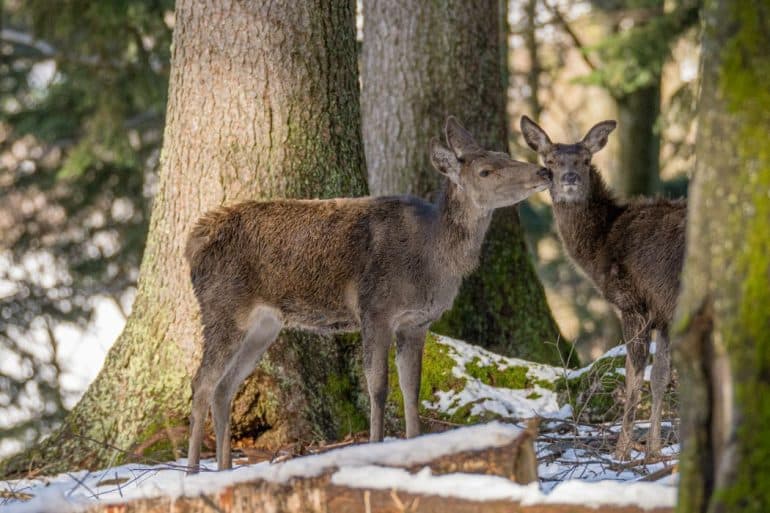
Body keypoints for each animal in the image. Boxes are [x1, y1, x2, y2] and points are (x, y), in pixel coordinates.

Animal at [183, 117, 548, 472]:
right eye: (485, 170)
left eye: (504, 153)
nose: (542, 172)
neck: (431, 257)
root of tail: (193, 242)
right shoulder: (375, 309)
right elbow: (378, 385)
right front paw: (375, 445)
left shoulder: (417, 322)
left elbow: (411, 387)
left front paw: (416, 445)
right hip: (223, 307)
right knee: (201, 384)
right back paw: (193, 471)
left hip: (264, 325)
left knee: (224, 387)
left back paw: (224, 469)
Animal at [520, 115, 680, 456]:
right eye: (549, 160)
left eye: (585, 160)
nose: (569, 178)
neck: (600, 248)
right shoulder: (662, 313)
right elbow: (660, 377)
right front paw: (653, 450)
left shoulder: (634, 303)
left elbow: (634, 379)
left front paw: (622, 452)